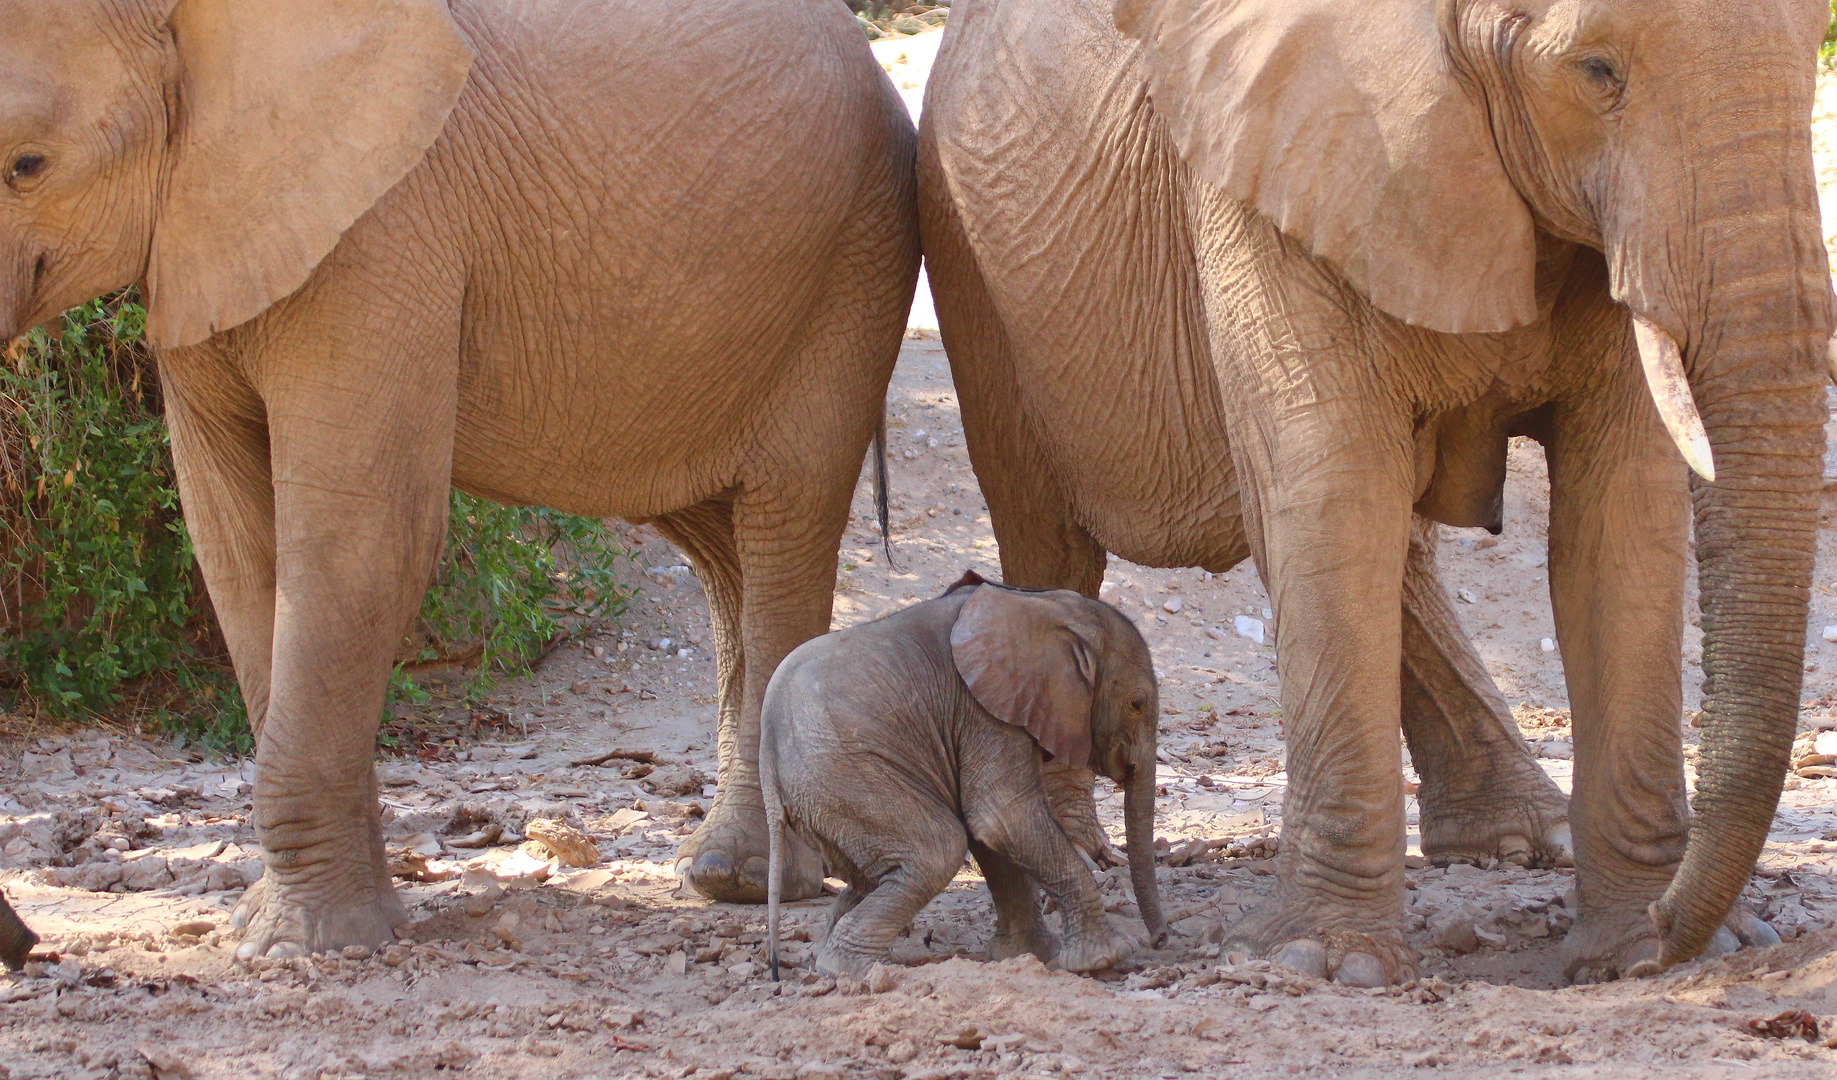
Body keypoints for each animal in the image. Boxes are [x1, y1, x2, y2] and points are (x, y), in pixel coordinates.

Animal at [0, 0, 918, 947]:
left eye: (27, 165)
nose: (25, 945)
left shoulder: (381, 239)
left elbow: (362, 538)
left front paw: (301, 945)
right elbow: (236, 551)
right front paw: (284, 928)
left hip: (850, 271)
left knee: (781, 529)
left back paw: (746, 883)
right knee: (720, 546)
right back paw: (713, 874)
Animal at [760, 573, 1160, 977]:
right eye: (1136, 704)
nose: (1160, 941)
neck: (1046, 605)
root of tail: (767, 760)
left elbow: (991, 836)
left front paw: (1029, 955)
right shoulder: (983, 711)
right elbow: (1002, 818)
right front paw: (1105, 959)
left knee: (876, 874)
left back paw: (835, 958)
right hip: (847, 776)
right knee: (938, 850)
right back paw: (853, 969)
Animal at [925, 0, 1829, 984]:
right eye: (1596, 73)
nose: (1674, 930)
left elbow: (1619, 511)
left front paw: (1645, 951)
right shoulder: (1277, 161)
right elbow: (1332, 488)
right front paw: (1325, 966)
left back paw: (1525, 841)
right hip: (979, 287)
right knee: (1050, 538)